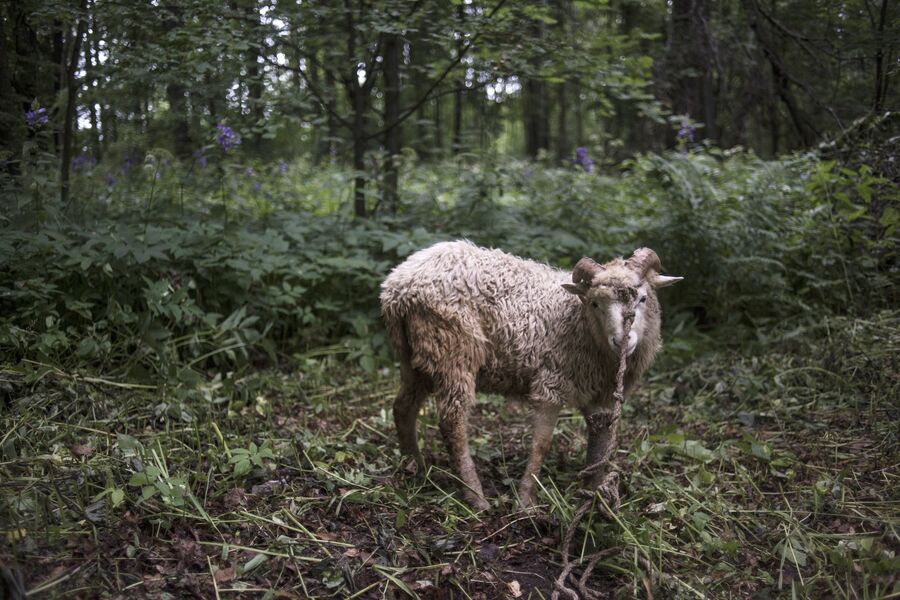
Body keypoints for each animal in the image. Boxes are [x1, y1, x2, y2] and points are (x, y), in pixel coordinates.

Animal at [376, 241, 680, 508]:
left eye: (643, 298)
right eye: (595, 304)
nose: (622, 341)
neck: (581, 325)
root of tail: (398, 287)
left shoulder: (601, 394)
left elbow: (600, 441)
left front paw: (595, 495)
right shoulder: (551, 384)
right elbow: (542, 444)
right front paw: (526, 501)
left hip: (414, 359)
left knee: (402, 408)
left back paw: (415, 468)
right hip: (453, 351)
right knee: (452, 423)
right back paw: (475, 497)